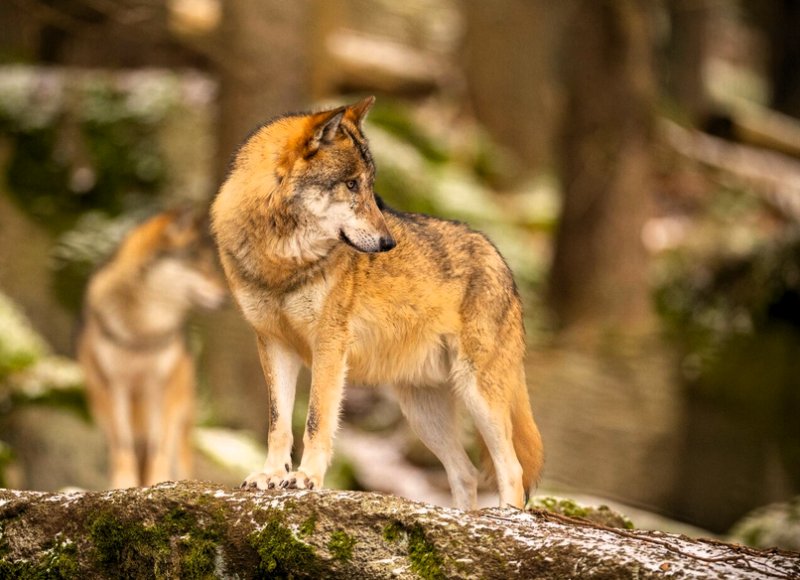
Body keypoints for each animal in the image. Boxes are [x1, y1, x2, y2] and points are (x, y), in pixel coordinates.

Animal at [77, 208, 226, 488]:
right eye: (198, 262)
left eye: (210, 263)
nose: (225, 299)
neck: (143, 330)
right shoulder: (115, 385)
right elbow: (122, 445)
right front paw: (123, 485)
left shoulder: (160, 385)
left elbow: (160, 445)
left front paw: (160, 482)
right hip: (102, 405)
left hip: (180, 413)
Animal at [211, 96, 543, 509]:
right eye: (352, 185)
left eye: (371, 187)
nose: (388, 244)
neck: (281, 261)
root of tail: (502, 262)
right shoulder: (273, 345)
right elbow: (278, 423)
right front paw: (271, 475)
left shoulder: (329, 346)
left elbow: (316, 420)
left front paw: (306, 478)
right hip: (423, 412)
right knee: (465, 472)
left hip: (478, 394)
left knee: (511, 470)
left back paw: (503, 518)